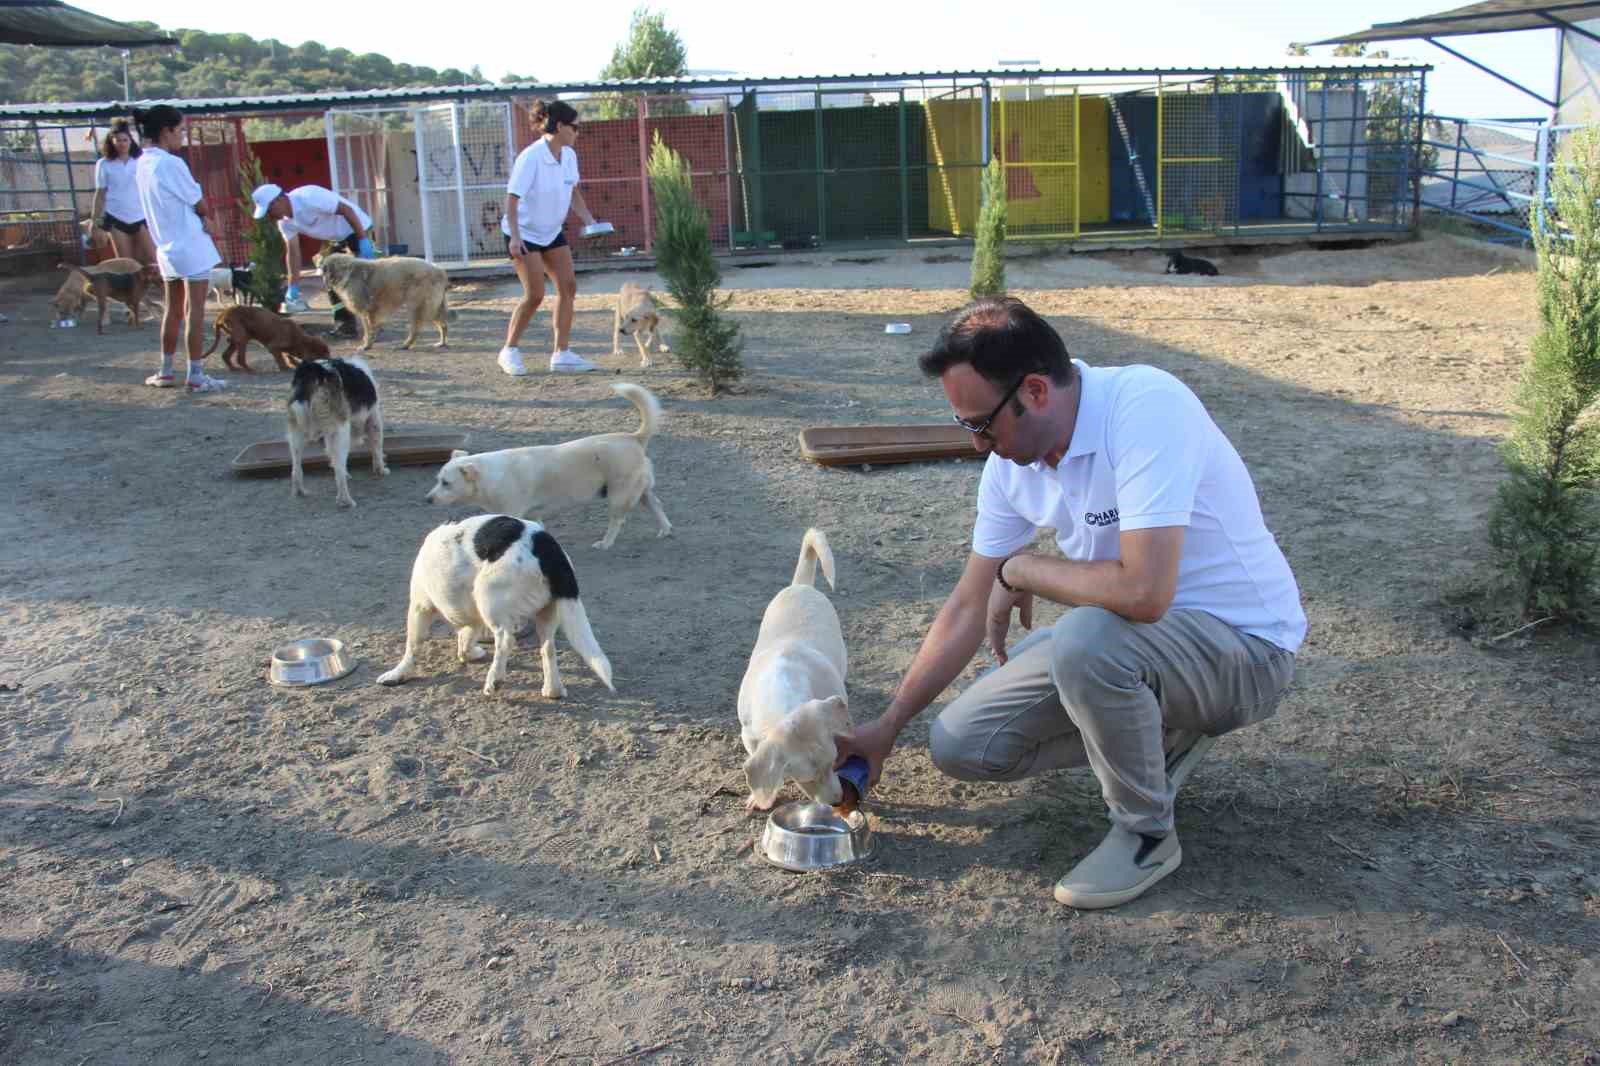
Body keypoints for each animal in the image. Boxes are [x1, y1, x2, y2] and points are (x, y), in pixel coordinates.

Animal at [288, 355, 387, 508]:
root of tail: (315, 371)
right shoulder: (374, 419)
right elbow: (377, 448)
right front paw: (380, 469)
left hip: (297, 433)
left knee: (296, 468)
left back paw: (300, 491)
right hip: (340, 433)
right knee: (339, 474)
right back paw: (346, 500)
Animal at [316, 251, 451, 350]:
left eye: (324, 270)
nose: (324, 283)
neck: (347, 272)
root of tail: (439, 270)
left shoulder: (367, 311)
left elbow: (369, 330)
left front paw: (367, 345)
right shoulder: (370, 312)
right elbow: (371, 329)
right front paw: (369, 342)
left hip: (418, 307)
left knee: (416, 330)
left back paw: (406, 344)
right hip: (432, 309)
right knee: (443, 325)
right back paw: (442, 343)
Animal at [377, 512, 614, 697]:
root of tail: (547, 548)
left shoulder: (420, 607)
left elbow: (412, 646)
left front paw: (398, 674)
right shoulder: (472, 617)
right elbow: (465, 639)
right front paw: (470, 652)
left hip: (489, 599)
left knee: (505, 640)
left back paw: (494, 680)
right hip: (547, 613)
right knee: (548, 648)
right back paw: (552, 690)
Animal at [422, 379, 672, 547]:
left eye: (446, 483)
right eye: (437, 480)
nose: (427, 499)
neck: (489, 476)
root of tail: (634, 437)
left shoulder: (513, 511)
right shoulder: (533, 515)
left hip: (619, 496)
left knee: (618, 521)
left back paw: (606, 543)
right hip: (641, 492)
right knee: (657, 505)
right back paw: (665, 530)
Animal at [732, 528, 851, 809]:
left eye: (834, 762)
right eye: (805, 779)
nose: (838, 802)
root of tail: (801, 585)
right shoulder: (748, 736)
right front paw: (757, 798)